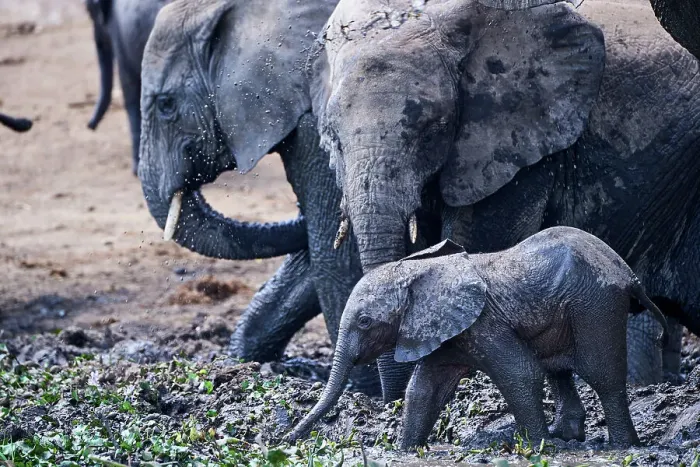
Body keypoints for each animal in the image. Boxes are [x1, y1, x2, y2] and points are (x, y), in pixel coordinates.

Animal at [288, 227, 669, 449]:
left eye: (365, 322)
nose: (284, 439)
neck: (417, 271)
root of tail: (628, 273)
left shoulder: (484, 322)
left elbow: (520, 374)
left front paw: (539, 448)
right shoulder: (447, 330)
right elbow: (424, 390)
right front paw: (404, 450)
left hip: (595, 305)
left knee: (600, 374)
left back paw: (621, 447)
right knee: (558, 370)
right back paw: (568, 437)